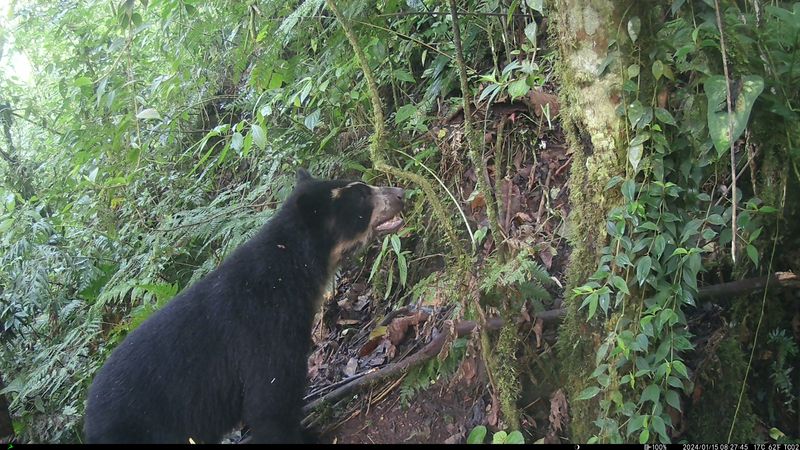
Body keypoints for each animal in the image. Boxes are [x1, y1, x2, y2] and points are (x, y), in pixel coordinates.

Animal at [84, 171, 404, 444]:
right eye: (362, 194)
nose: (400, 192)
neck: (288, 271)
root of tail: (89, 422)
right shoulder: (261, 329)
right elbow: (269, 401)